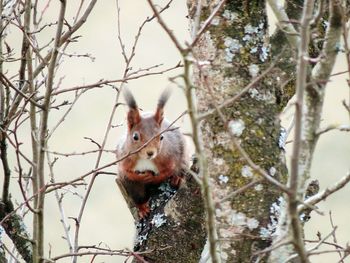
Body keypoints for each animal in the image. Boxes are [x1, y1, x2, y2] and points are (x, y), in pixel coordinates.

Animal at [117, 88, 189, 219]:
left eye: (161, 137)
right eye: (135, 137)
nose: (150, 153)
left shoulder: (169, 157)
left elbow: (167, 171)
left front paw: (153, 177)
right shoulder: (124, 163)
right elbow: (130, 176)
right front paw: (142, 208)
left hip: (184, 154)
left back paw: (177, 178)